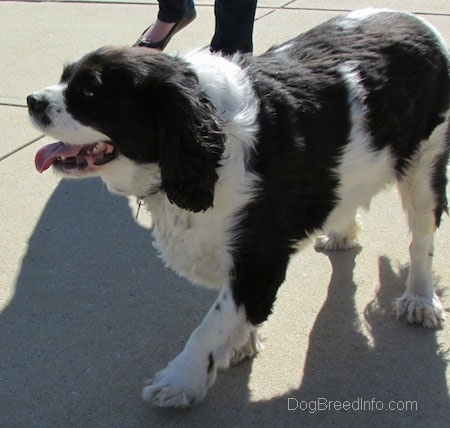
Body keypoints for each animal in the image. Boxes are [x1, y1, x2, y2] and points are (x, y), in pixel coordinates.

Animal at [29, 8, 450, 406]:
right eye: (65, 78)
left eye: (89, 93)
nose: (32, 101)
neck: (211, 135)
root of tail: (416, 22)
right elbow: (232, 315)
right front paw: (241, 342)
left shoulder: (259, 259)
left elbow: (210, 327)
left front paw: (180, 381)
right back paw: (343, 233)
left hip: (425, 165)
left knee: (421, 241)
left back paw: (419, 299)